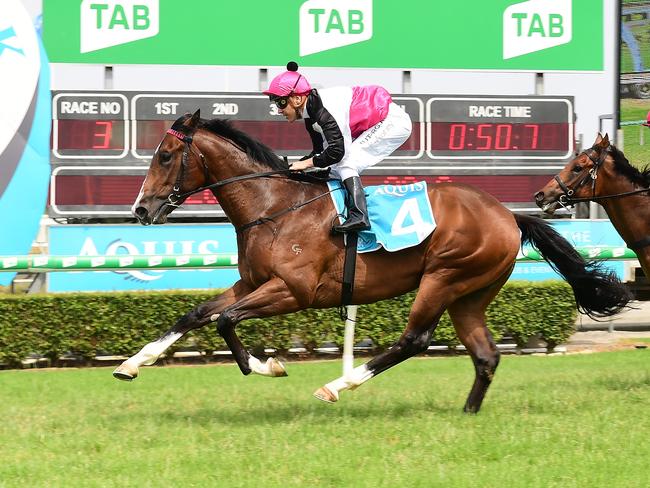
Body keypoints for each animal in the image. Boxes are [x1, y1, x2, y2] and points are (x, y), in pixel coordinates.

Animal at [111, 112, 628, 414]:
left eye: (165, 155)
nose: (140, 209)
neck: (274, 205)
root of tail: (508, 214)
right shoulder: (252, 283)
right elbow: (197, 313)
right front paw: (131, 365)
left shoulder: (293, 291)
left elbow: (225, 322)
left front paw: (267, 365)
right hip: (471, 293)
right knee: (485, 355)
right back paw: (467, 414)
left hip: (444, 277)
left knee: (414, 339)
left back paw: (337, 385)